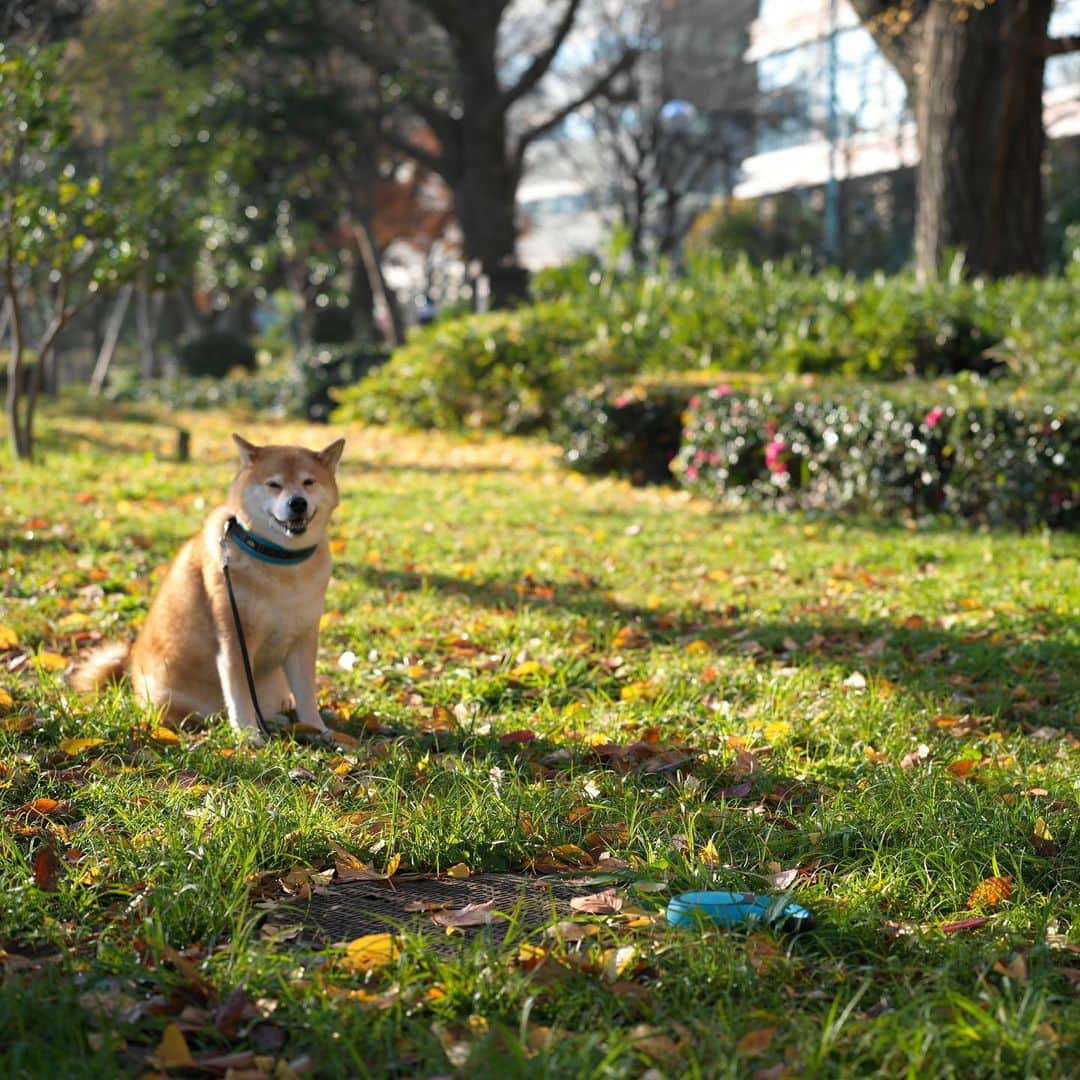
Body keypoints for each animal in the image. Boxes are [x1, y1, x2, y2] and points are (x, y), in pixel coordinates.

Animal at [73, 429, 343, 743]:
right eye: (274, 484)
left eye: (308, 482)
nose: (297, 502)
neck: (280, 562)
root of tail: (130, 671)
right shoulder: (235, 640)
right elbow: (240, 696)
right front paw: (249, 737)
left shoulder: (303, 639)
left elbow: (306, 695)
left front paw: (317, 729)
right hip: (170, 694)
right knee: (196, 715)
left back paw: (275, 719)